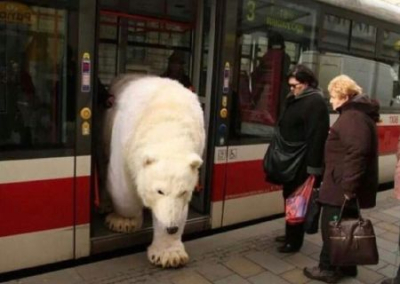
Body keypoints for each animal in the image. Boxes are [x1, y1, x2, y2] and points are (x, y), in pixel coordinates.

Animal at [103, 75, 205, 266]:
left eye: (184, 191)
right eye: (159, 191)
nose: (172, 228)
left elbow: (178, 209)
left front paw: (170, 255)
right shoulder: (125, 138)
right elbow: (123, 187)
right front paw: (123, 222)